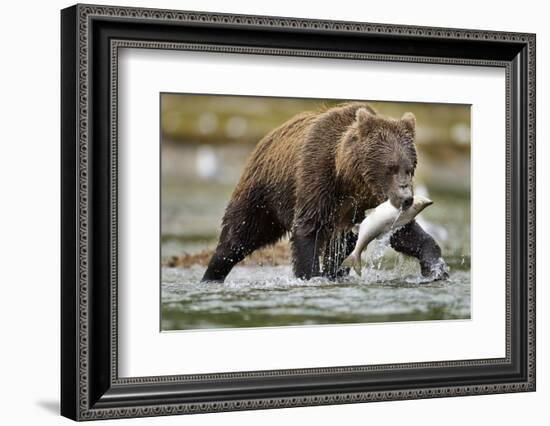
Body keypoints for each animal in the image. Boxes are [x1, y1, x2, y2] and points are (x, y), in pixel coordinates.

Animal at [203, 102, 448, 282]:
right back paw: (211, 276)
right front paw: (311, 276)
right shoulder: (318, 179)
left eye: (410, 167)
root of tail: (266, 139)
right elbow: (308, 230)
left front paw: (436, 268)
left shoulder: (369, 202)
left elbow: (403, 232)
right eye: (391, 168)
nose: (406, 198)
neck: (350, 179)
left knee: (341, 249)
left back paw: (336, 274)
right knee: (238, 237)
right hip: (263, 195)